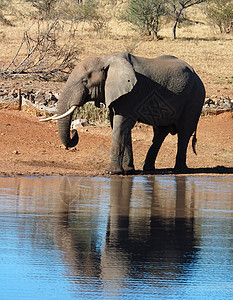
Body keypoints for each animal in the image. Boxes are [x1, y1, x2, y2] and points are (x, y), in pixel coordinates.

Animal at [42, 51, 206, 173]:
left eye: (85, 81)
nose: (75, 132)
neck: (107, 58)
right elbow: (119, 125)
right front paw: (128, 171)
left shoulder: (132, 93)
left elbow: (121, 124)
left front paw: (112, 172)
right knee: (160, 132)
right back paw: (148, 168)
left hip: (195, 98)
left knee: (184, 132)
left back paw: (179, 170)